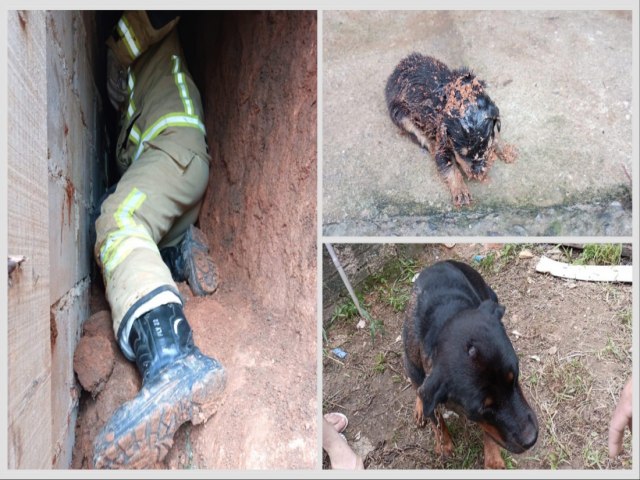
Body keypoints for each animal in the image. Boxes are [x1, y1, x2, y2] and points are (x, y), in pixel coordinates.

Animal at [382, 53, 516, 207]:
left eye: (485, 148)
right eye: (462, 153)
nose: (478, 174)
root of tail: (395, 71)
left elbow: (495, 135)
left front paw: (506, 150)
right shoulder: (442, 140)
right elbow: (450, 167)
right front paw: (461, 192)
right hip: (400, 113)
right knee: (420, 135)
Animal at [402, 260, 536, 466]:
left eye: (514, 378)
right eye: (483, 408)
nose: (532, 439)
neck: (444, 317)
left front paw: (493, 460)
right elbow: (434, 415)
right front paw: (444, 443)